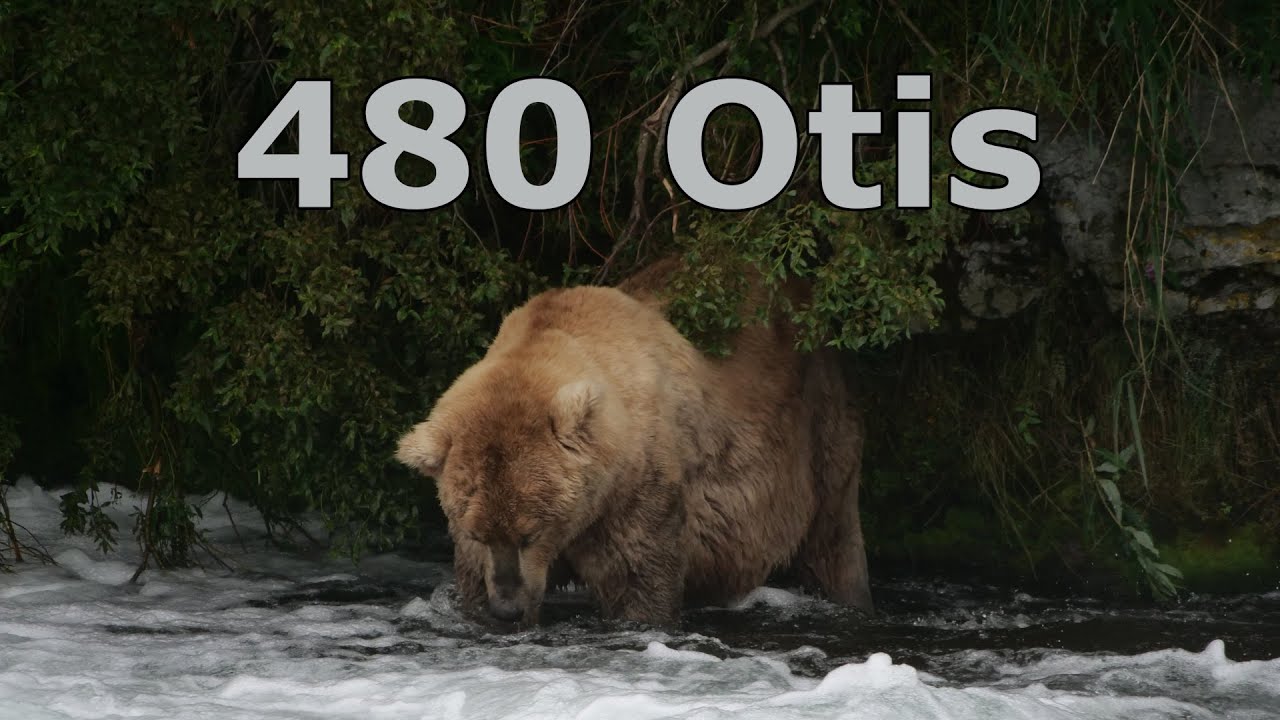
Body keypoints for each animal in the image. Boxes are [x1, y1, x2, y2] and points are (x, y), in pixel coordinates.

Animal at [395, 257, 872, 627]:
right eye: (478, 532)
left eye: (531, 531)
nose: (507, 610)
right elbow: (474, 583)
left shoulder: (639, 485)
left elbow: (637, 580)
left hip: (817, 429)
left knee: (834, 538)